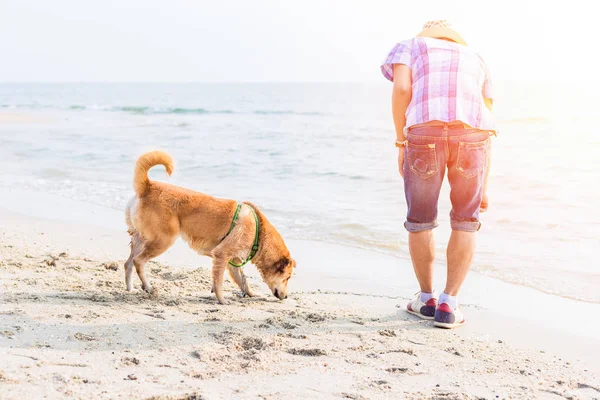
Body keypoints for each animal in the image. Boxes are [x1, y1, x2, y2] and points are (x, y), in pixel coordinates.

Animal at [123, 150, 296, 304]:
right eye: (287, 277)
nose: (286, 297)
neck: (258, 233)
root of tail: (148, 186)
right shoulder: (222, 255)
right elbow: (218, 282)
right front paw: (222, 300)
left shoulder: (233, 262)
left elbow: (242, 280)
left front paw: (251, 294)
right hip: (163, 240)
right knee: (139, 261)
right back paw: (148, 287)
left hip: (140, 239)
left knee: (128, 263)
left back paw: (130, 289)